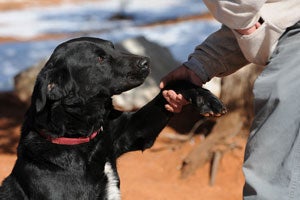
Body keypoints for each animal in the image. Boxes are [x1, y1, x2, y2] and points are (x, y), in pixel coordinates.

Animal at [0, 36, 225, 199]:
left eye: (113, 47)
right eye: (100, 58)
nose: (146, 62)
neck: (83, 139)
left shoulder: (130, 132)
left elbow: (171, 86)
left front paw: (205, 98)